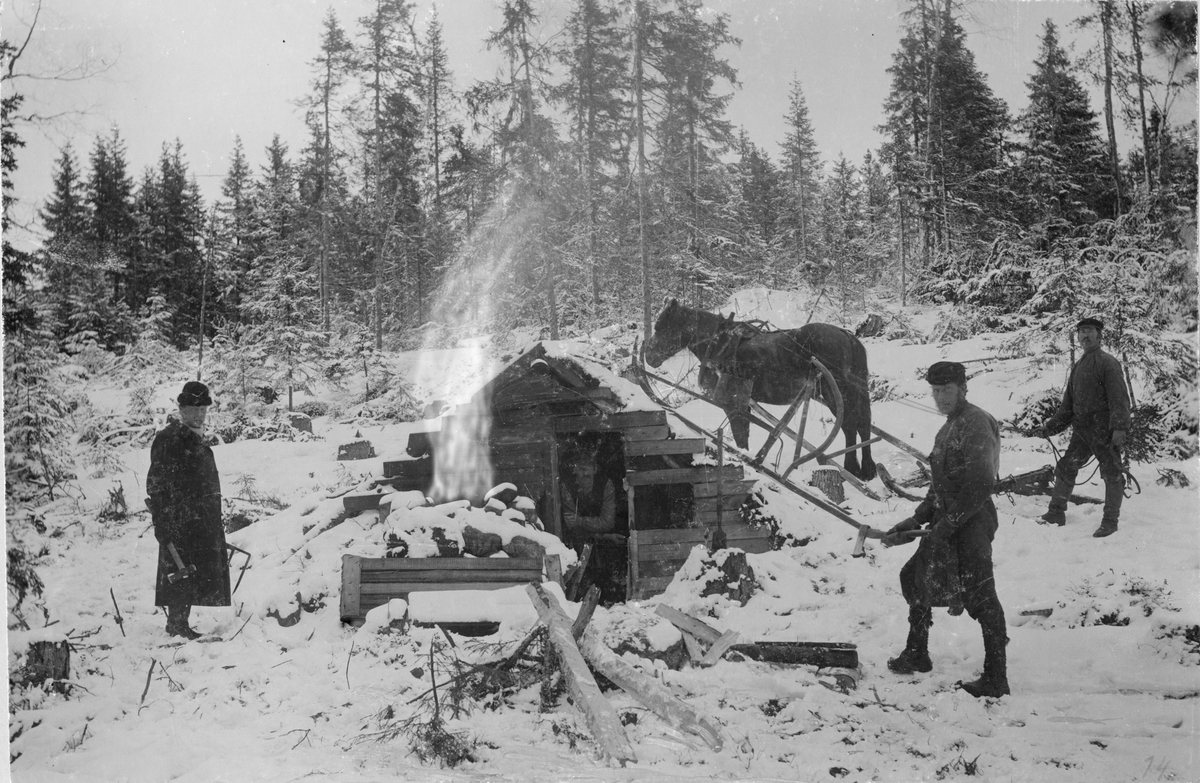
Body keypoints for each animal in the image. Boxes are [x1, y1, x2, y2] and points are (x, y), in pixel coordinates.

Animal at [643, 297, 878, 480]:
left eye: (662, 327)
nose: (649, 356)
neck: (718, 345)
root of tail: (846, 335)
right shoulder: (744, 403)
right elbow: (744, 434)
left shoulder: (731, 401)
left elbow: (740, 434)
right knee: (863, 425)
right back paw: (867, 470)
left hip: (834, 393)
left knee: (850, 426)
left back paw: (852, 468)